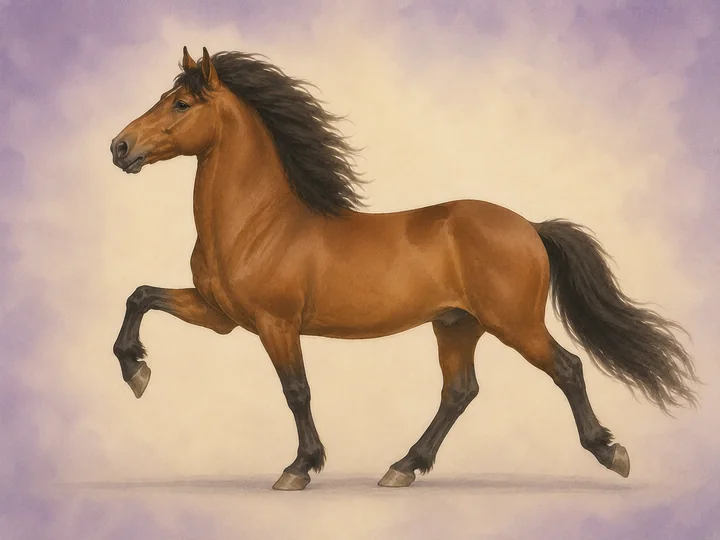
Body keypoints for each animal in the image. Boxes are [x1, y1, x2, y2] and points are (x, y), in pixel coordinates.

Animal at [109, 47, 697, 491]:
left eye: (181, 104)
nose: (120, 147)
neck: (259, 221)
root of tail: (529, 226)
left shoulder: (277, 324)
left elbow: (296, 391)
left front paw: (299, 468)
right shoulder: (220, 315)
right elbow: (140, 295)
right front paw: (136, 371)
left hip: (515, 324)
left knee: (567, 368)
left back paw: (610, 453)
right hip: (457, 325)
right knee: (459, 391)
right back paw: (403, 467)